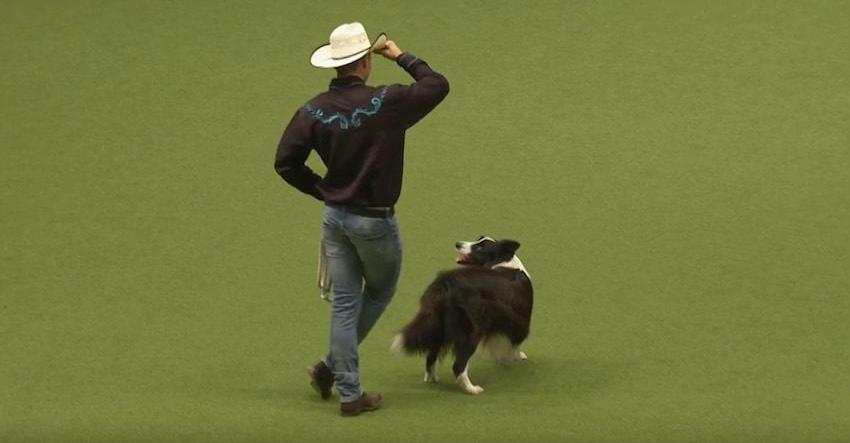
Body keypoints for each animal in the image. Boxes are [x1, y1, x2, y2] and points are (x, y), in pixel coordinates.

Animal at [390, 236, 528, 396]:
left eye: (480, 246)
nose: (458, 244)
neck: (503, 261)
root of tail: (445, 282)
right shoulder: (519, 319)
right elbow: (514, 342)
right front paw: (517, 356)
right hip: (471, 329)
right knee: (458, 364)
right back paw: (472, 389)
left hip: (438, 325)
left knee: (431, 355)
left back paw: (432, 378)